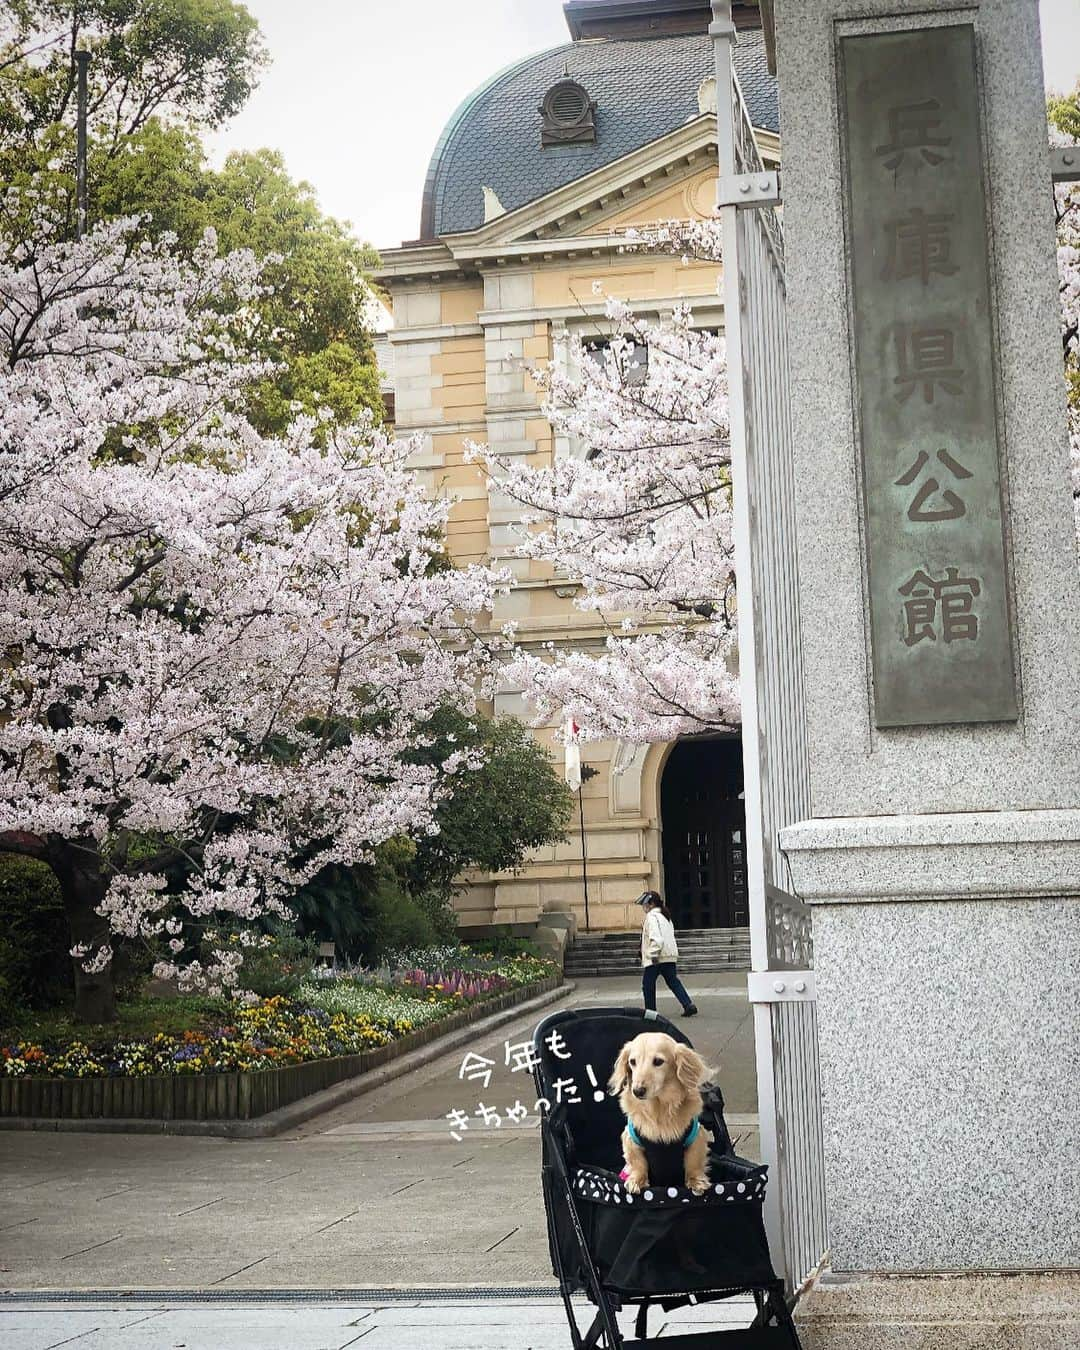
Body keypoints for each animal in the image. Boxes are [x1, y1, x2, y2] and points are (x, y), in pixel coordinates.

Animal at [612, 1031, 712, 1193]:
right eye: (632, 1061)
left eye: (658, 1061)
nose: (637, 1091)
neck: (658, 1108)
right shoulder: (630, 1138)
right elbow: (637, 1163)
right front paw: (636, 1180)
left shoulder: (697, 1136)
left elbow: (694, 1162)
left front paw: (696, 1181)